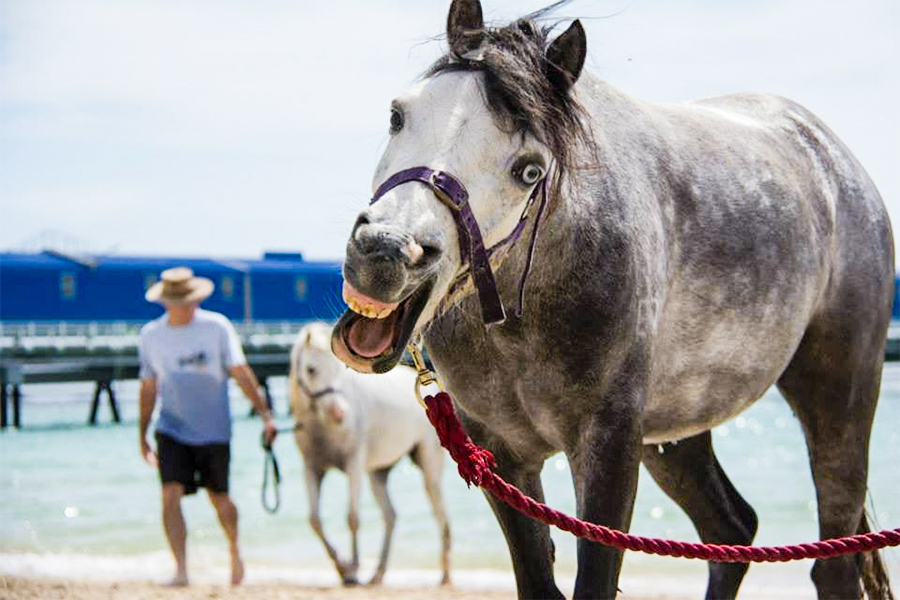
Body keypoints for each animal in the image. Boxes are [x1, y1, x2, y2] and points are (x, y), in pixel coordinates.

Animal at [288, 324, 450, 584]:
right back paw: (378, 573)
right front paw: (342, 567)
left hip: (429, 468)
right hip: (379, 473)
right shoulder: (312, 468)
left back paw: (445, 574)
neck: (322, 426)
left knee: (440, 515)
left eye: (338, 368)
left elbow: (352, 518)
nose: (339, 413)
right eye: (311, 369)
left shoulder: (354, 465)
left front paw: (353, 570)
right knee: (391, 516)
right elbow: (314, 520)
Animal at [328, 2, 892, 596]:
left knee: (832, 560)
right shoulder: (500, 453)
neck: (523, 317)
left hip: (838, 397)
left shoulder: (608, 448)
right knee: (731, 530)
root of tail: (833, 159)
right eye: (399, 115)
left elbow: (595, 578)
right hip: (673, 433)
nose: (386, 251)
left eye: (529, 170)